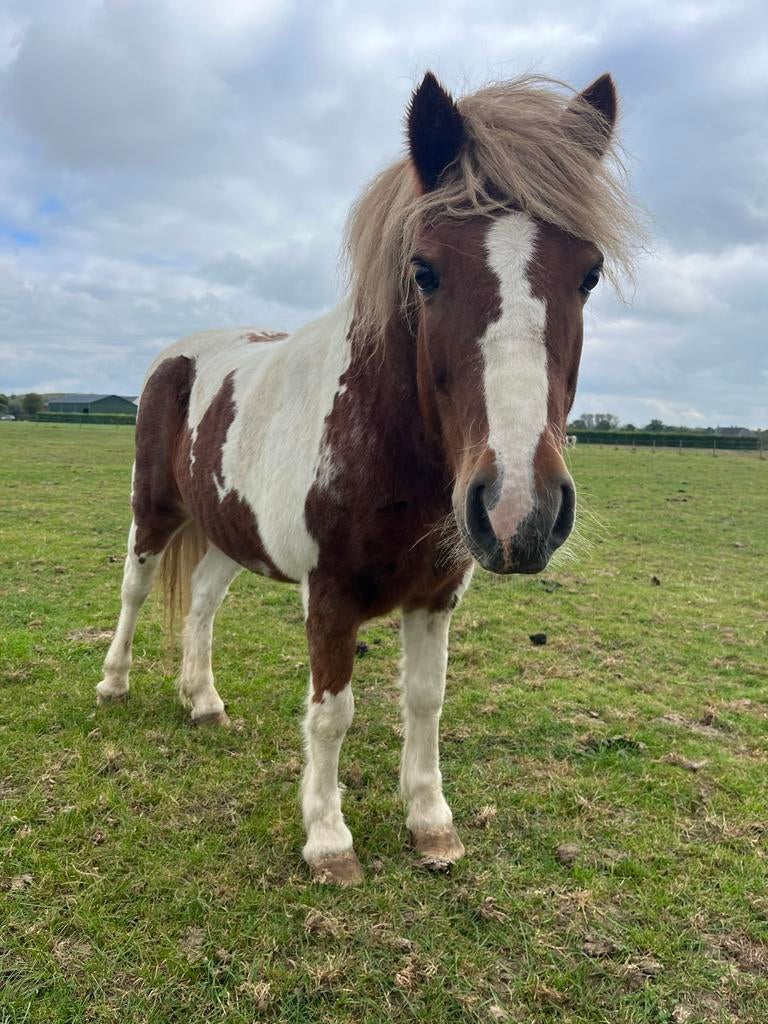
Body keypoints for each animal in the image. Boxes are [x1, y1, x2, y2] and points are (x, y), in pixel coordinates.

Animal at [96, 70, 638, 885]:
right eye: (425, 271)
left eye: (590, 273)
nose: (520, 510)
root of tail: (183, 352)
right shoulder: (329, 598)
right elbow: (333, 714)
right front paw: (328, 839)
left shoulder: (437, 596)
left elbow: (425, 701)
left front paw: (431, 822)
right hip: (154, 510)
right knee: (135, 589)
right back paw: (114, 683)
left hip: (228, 531)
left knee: (202, 605)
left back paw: (203, 701)